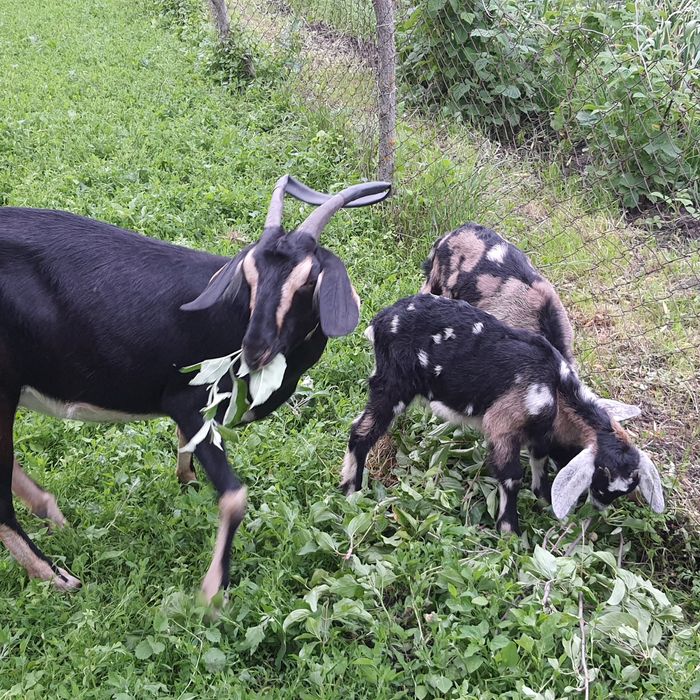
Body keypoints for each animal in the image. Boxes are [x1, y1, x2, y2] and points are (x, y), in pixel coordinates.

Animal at [0, 175, 390, 599]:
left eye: (306, 280)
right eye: (249, 275)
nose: (254, 350)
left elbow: (185, 451)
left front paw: (186, 484)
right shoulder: (187, 400)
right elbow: (234, 496)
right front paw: (212, 593)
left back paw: (53, 517)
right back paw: (56, 576)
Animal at [340, 294, 664, 534]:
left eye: (628, 486)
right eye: (601, 476)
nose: (597, 510)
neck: (555, 387)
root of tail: (380, 321)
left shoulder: (540, 434)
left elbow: (539, 460)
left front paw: (542, 497)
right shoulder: (503, 425)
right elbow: (511, 477)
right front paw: (511, 531)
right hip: (393, 384)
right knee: (361, 432)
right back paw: (351, 492)